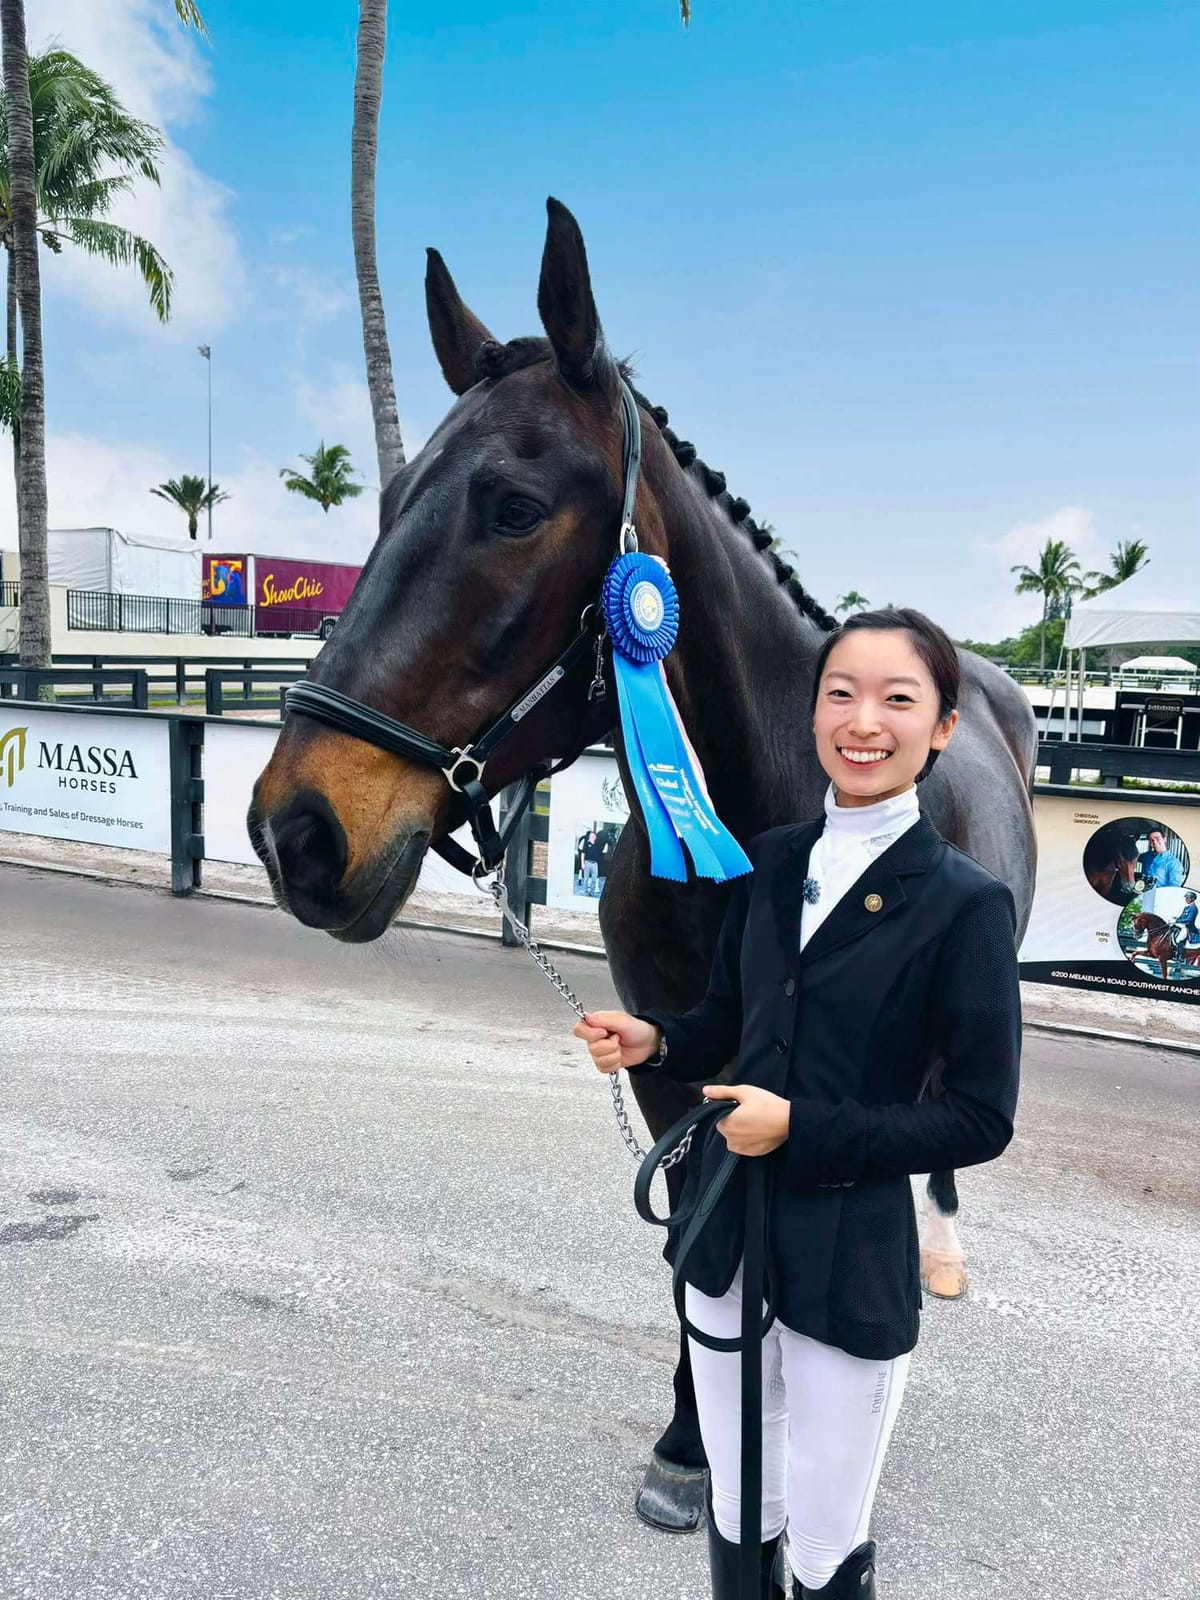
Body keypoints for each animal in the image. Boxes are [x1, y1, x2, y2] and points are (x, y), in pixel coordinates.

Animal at [248, 198, 1038, 1533]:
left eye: (514, 506)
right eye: (393, 493)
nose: (296, 829)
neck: (761, 830)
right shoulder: (679, 1076)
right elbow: (692, 1250)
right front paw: (693, 1436)